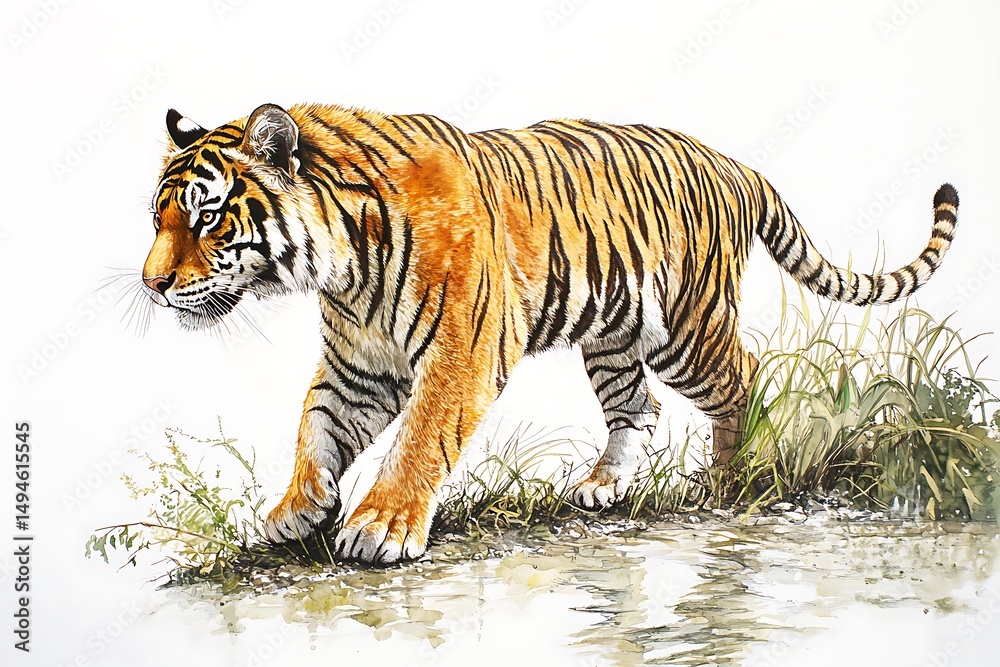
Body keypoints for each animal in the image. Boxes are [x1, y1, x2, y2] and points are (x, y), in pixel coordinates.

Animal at [142, 102, 958, 564]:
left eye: (207, 216)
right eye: (159, 217)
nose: (151, 285)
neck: (342, 261)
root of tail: (734, 164)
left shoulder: (461, 350)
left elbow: (421, 436)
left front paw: (382, 526)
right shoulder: (360, 365)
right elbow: (316, 427)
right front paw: (297, 510)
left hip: (687, 330)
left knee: (743, 376)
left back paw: (727, 476)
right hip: (615, 336)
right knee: (639, 406)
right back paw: (602, 485)